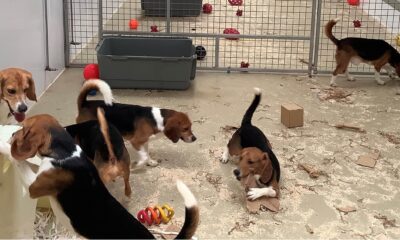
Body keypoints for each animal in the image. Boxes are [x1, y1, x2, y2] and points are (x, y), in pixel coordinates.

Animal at [0, 115, 199, 239]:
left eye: (23, 129)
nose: (12, 133)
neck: (66, 150)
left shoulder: (34, 186)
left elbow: (17, 161)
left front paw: (4, 145)